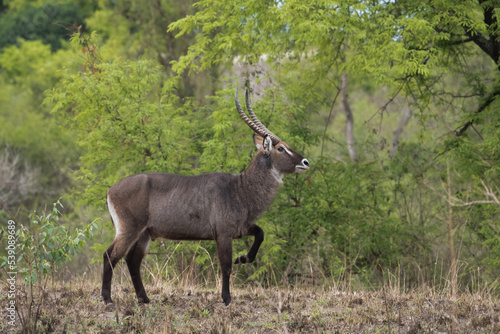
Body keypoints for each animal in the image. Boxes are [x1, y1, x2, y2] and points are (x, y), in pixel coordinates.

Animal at [102, 88, 308, 306]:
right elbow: (226, 266)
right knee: (110, 255)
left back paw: (144, 298)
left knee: (132, 260)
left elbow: (260, 234)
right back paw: (107, 299)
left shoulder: (241, 228)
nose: (306, 162)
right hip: (129, 229)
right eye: (281, 148)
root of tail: (110, 190)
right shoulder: (223, 234)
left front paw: (243, 258)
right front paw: (226, 298)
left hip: (145, 233)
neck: (240, 189)